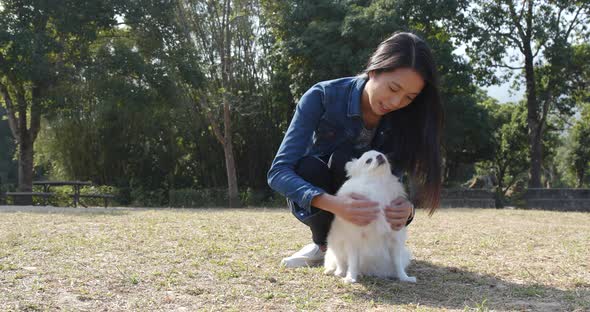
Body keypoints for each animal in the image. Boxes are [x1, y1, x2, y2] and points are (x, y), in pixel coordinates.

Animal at [324, 150, 416, 284]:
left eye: (381, 154)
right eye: (368, 161)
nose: (380, 156)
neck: (377, 184)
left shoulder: (395, 238)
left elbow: (397, 262)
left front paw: (404, 277)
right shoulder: (354, 239)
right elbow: (353, 262)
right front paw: (351, 277)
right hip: (335, 244)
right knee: (340, 261)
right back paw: (338, 272)